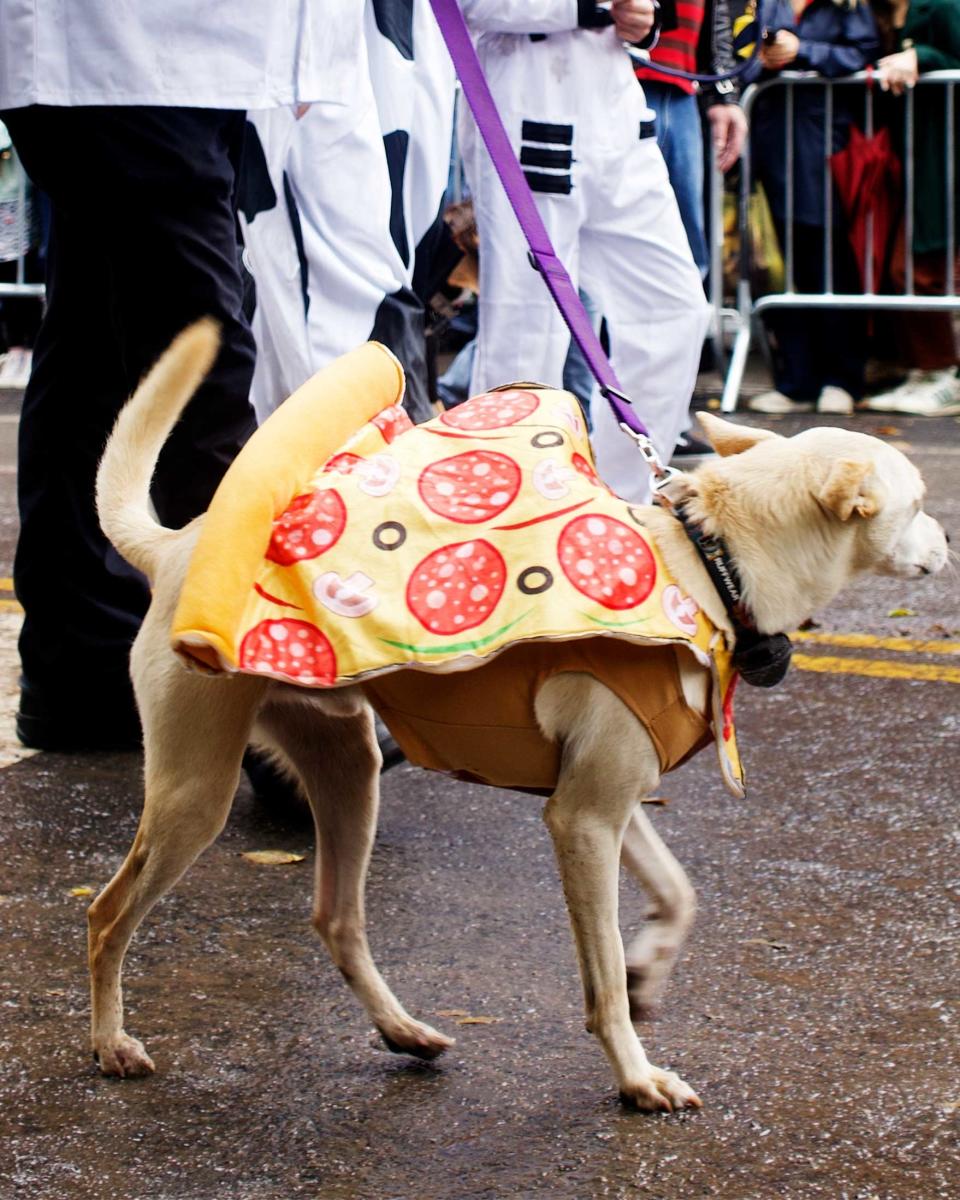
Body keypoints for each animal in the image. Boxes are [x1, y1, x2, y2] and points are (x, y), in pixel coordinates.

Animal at [86, 324, 950, 1108]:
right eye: (917, 503)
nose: (946, 536)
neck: (709, 565)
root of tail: (175, 548)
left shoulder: (606, 803)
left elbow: (678, 894)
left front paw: (648, 967)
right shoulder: (583, 820)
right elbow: (600, 984)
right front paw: (637, 1077)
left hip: (348, 769)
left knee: (336, 920)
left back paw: (403, 1032)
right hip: (196, 793)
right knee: (106, 914)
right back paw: (110, 1043)